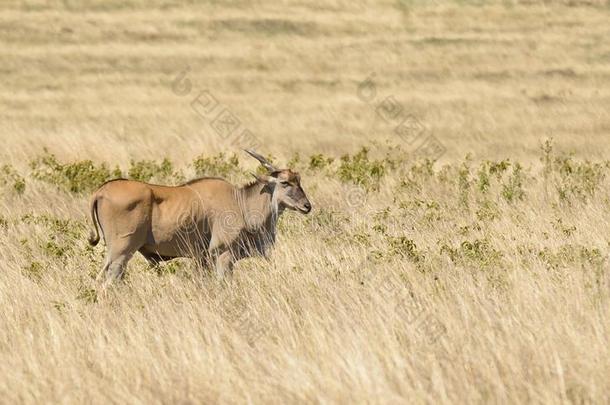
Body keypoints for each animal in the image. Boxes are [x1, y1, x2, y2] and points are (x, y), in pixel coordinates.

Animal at [88, 148, 312, 284]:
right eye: (285, 183)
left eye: (299, 181)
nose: (307, 206)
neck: (241, 203)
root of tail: (100, 191)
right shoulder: (223, 254)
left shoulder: (202, 258)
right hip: (120, 252)